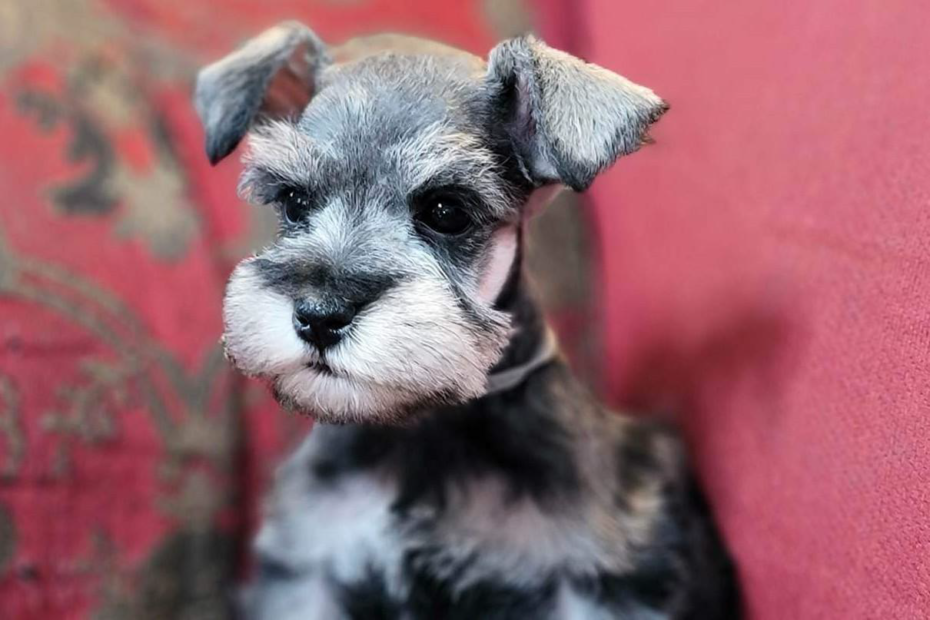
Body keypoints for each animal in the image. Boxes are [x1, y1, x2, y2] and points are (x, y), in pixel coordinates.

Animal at [194, 20, 740, 620]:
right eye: (293, 201)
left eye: (446, 211)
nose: (318, 317)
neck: (421, 425)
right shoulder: (308, 571)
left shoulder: (591, 582)